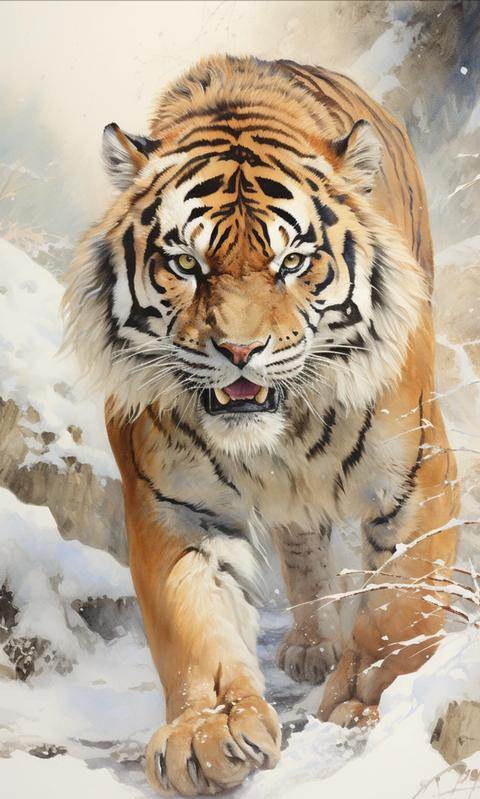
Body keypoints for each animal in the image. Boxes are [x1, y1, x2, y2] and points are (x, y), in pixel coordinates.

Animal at [63, 55, 459, 796]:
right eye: (186, 263)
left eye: (293, 262)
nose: (240, 351)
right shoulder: (172, 503)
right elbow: (194, 621)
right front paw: (208, 730)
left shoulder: (417, 476)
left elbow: (400, 608)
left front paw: (364, 704)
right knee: (301, 546)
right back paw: (307, 645)